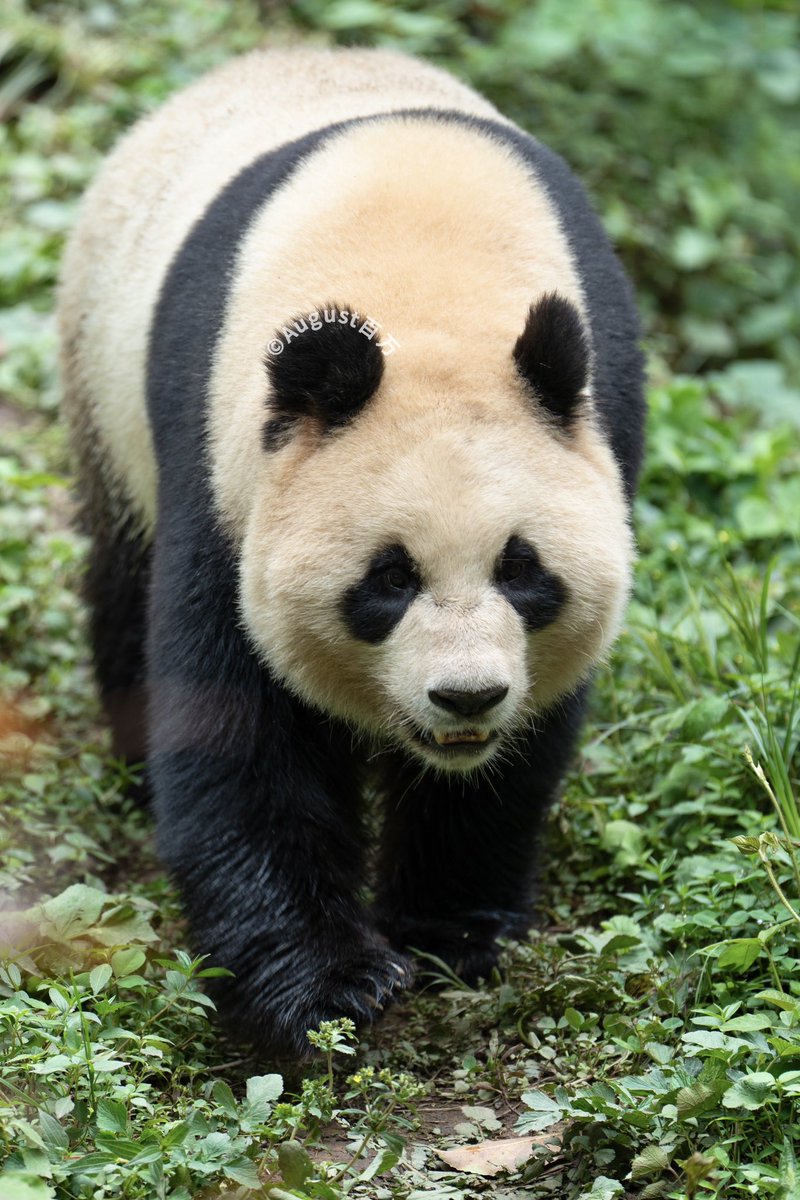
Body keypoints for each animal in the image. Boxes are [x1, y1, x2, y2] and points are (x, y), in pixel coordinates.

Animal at [58, 46, 645, 1057]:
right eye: (389, 579)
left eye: (521, 569)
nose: (466, 697)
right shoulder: (225, 465)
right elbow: (237, 723)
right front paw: (327, 988)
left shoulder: (603, 407)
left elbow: (520, 748)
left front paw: (448, 929)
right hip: (105, 388)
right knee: (123, 585)